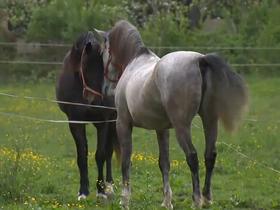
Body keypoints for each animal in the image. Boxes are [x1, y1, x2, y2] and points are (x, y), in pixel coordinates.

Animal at [55, 31, 119, 200]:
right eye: (86, 67)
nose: (99, 99)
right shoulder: (75, 122)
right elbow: (82, 156)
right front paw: (83, 191)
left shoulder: (104, 121)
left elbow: (100, 155)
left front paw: (101, 191)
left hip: (113, 120)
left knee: (109, 151)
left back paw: (109, 185)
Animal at [89, 20, 247, 209]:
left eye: (103, 52)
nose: (105, 89)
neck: (135, 61)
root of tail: (199, 60)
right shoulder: (162, 129)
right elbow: (164, 163)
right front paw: (167, 201)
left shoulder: (123, 124)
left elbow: (126, 161)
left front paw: (124, 200)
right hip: (209, 120)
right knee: (210, 155)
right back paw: (207, 198)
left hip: (182, 127)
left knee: (192, 157)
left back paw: (196, 200)